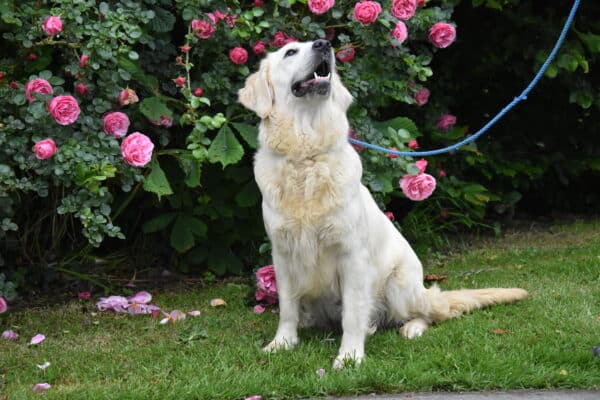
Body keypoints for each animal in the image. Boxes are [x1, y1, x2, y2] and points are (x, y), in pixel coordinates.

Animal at [237, 39, 528, 368]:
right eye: (290, 52)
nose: (324, 44)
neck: (306, 155)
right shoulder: (283, 254)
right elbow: (287, 307)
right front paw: (282, 343)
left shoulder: (351, 256)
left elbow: (353, 315)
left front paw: (350, 356)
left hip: (399, 286)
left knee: (429, 312)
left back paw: (412, 328)